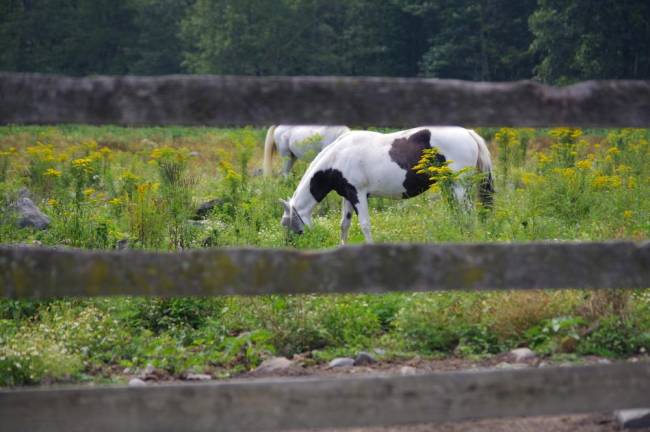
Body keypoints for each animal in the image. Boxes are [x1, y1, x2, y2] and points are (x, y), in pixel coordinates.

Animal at [278, 126, 492, 245]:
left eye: (285, 224)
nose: (289, 245)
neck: (337, 157)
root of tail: (468, 133)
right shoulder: (348, 196)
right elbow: (344, 225)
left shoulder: (358, 195)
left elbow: (365, 225)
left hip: (459, 186)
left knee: (467, 213)